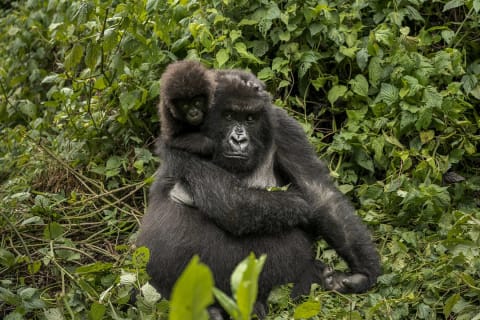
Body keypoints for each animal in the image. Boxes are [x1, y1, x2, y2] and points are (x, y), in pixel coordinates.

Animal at [137, 68, 380, 318]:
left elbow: (319, 193)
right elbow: (234, 204)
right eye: (229, 116)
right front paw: (296, 204)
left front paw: (364, 273)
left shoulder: (284, 127)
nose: (238, 140)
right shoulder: (176, 139)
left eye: (250, 119)